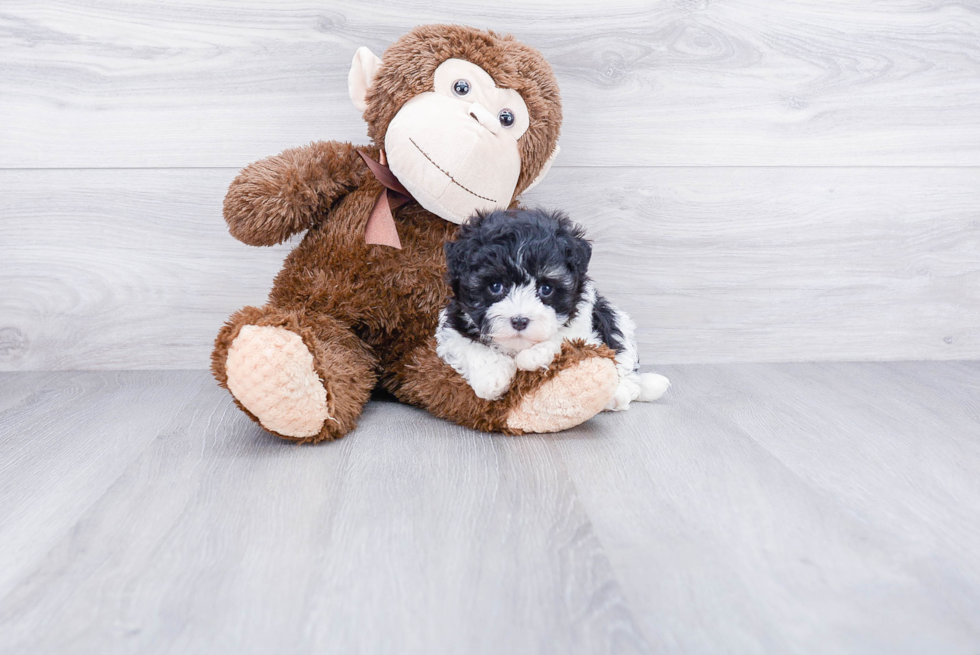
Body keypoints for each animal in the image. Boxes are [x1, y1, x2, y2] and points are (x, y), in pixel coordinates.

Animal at [440, 208, 668, 410]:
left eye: (546, 289)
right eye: (496, 286)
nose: (519, 321)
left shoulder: (585, 329)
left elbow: (563, 338)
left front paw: (532, 357)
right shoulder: (451, 325)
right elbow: (468, 344)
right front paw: (492, 378)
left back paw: (619, 395)